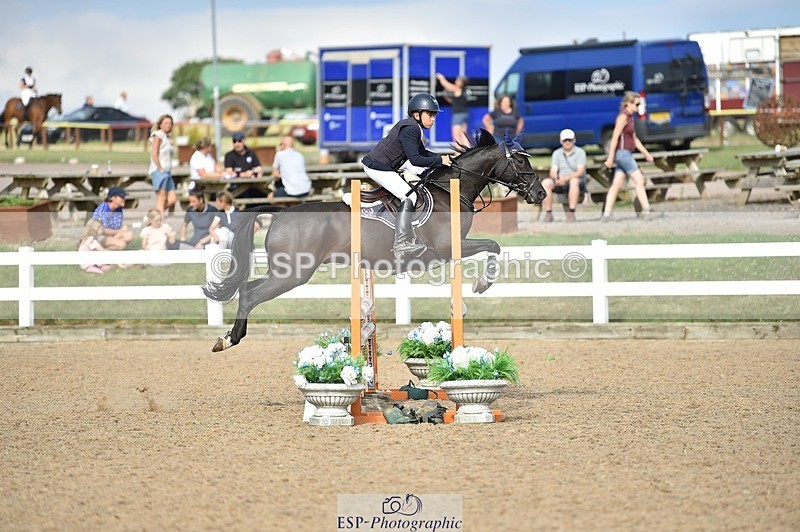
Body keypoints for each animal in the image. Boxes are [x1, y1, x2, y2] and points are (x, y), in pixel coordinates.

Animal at [204, 128, 547, 352]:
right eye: (520, 162)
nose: (541, 194)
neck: (449, 191)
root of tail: (280, 213)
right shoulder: (448, 248)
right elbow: (493, 245)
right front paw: (482, 284)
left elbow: (493, 246)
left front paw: (481, 284)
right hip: (294, 272)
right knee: (250, 294)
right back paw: (228, 339)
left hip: (288, 272)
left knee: (247, 289)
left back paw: (227, 337)